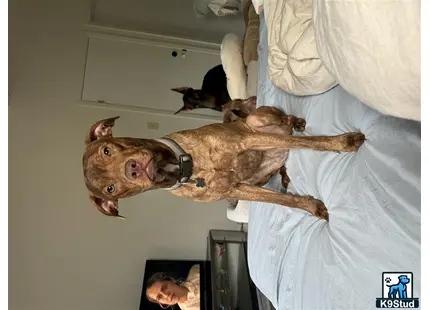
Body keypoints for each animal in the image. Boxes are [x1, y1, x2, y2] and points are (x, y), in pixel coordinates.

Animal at [82, 100, 364, 222]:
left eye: (107, 150)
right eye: (110, 189)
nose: (132, 169)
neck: (185, 167)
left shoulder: (249, 139)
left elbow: (313, 142)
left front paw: (344, 142)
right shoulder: (237, 189)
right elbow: (283, 201)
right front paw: (312, 207)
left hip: (256, 122)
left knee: (286, 124)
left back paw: (296, 122)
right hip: (259, 173)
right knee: (283, 156)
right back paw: (284, 172)